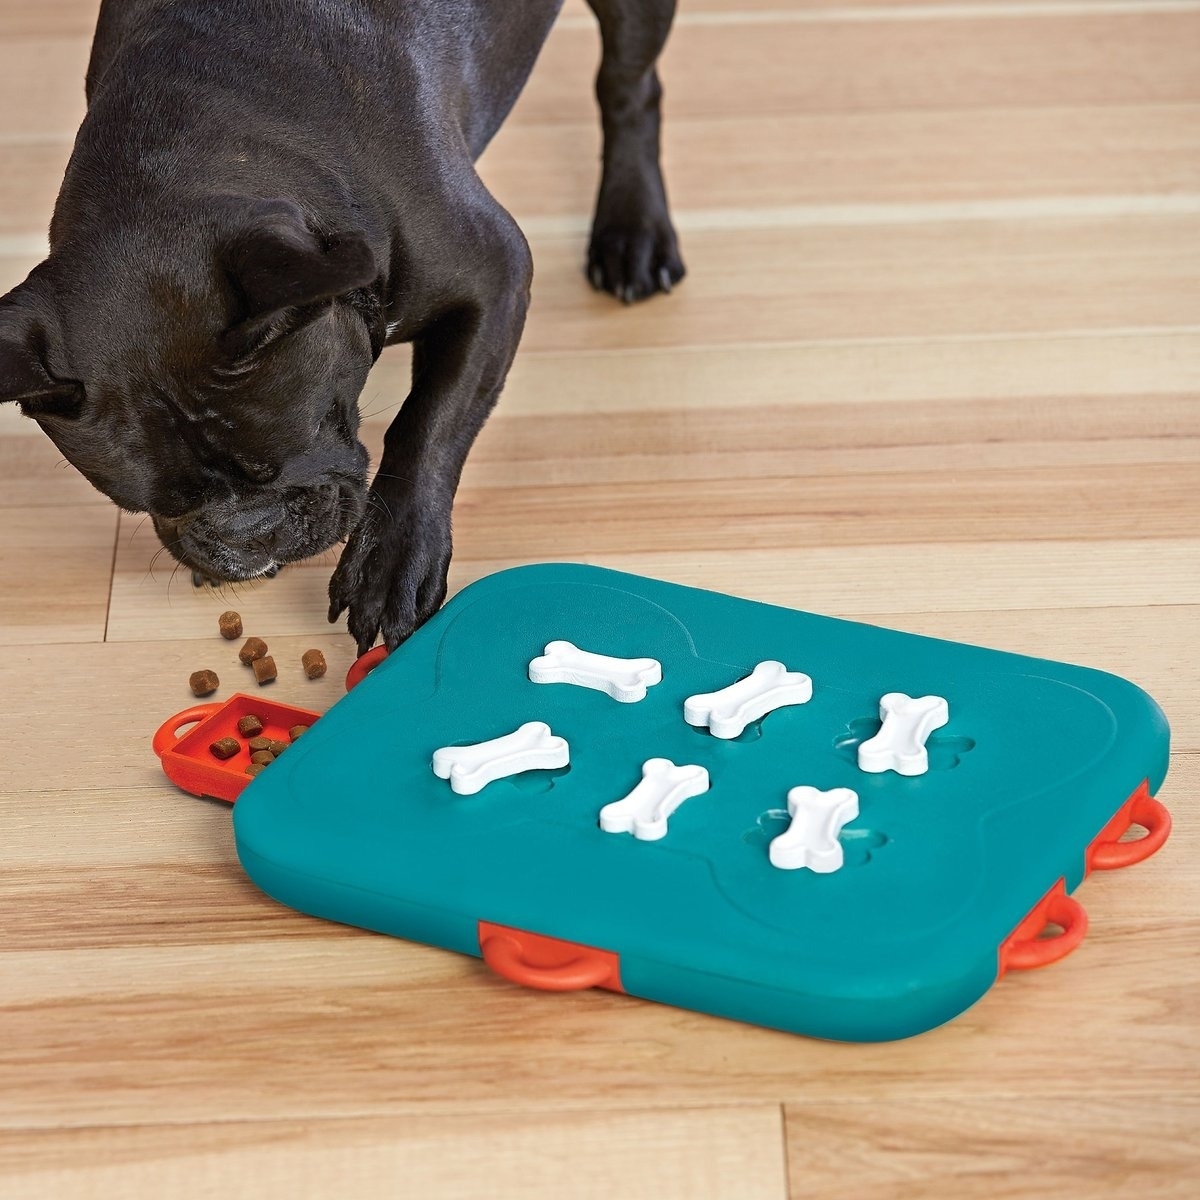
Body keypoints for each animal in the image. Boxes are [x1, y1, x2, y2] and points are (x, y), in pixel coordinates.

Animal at [0, 0, 681, 652]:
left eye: (304, 436)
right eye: (145, 506)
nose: (249, 536)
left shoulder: (496, 278)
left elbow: (427, 422)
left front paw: (394, 558)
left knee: (628, 87)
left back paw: (634, 227)